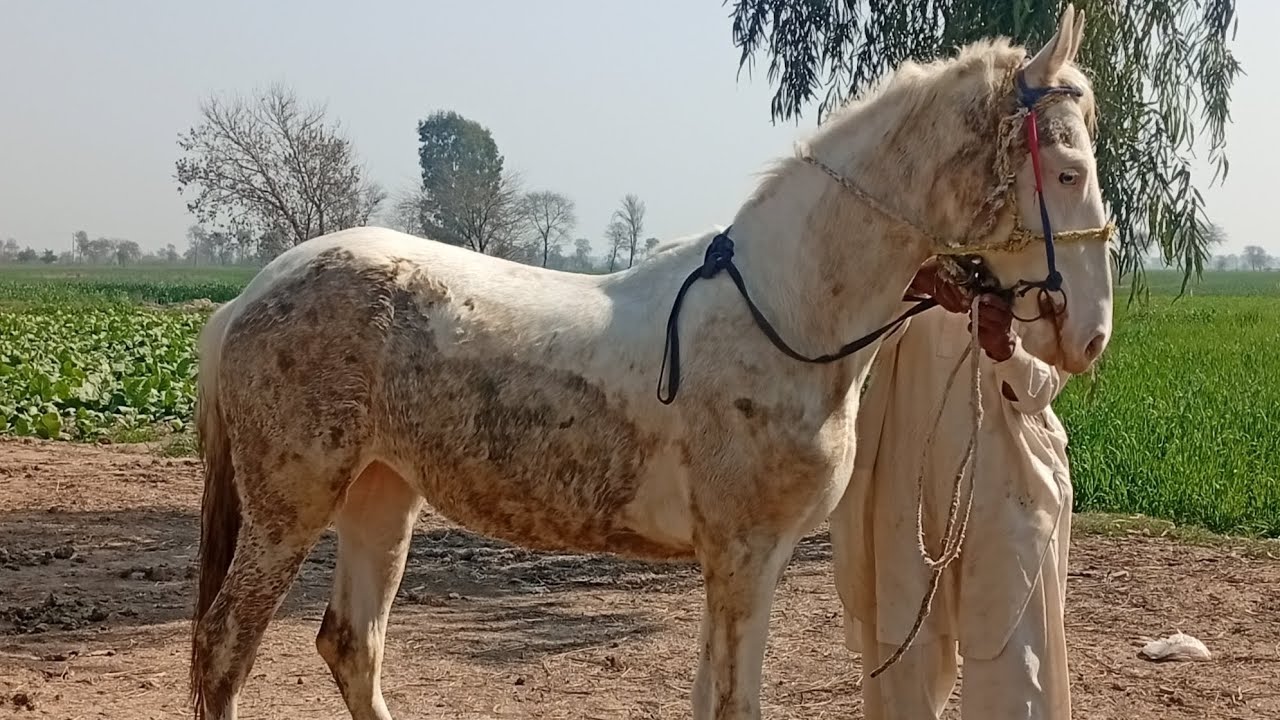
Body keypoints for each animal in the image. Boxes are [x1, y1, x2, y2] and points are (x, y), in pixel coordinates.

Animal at [187, 6, 1112, 719]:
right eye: (1068, 170)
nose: (1089, 332)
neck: (783, 309)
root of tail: (250, 295)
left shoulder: (739, 563)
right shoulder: (743, 556)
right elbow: (737, 702)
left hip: (381, 495)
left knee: (350, 645)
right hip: (291, 507)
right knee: (225, 646)